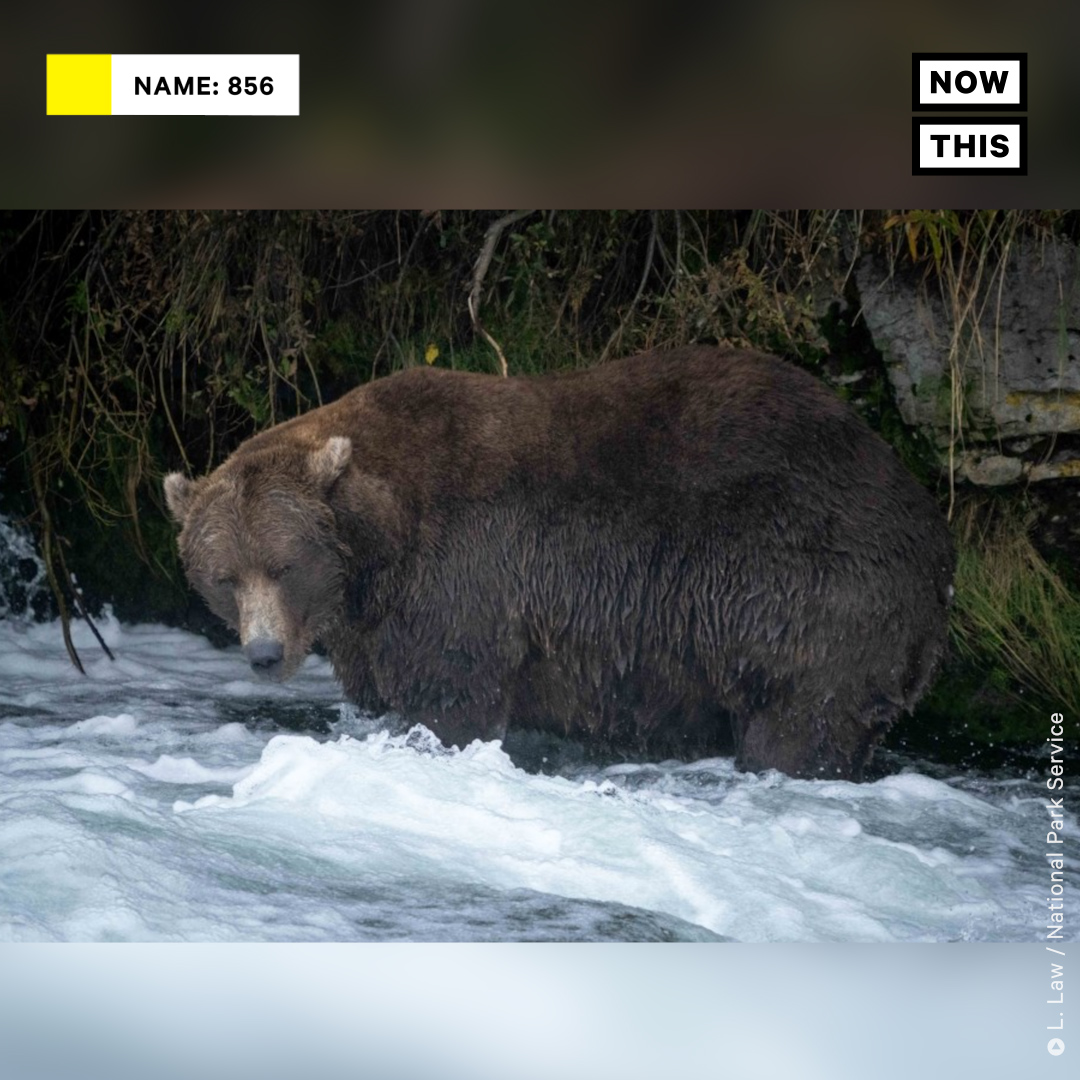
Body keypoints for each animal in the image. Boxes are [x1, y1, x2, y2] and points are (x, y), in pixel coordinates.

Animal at [163, 346, 954, 780]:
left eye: (284, 565)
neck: (378, 545)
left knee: (801, 715)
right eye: (225, 578)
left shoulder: (463, 575)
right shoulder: (373, 620)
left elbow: (453, 695)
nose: (265, 653)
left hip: (806, 586)